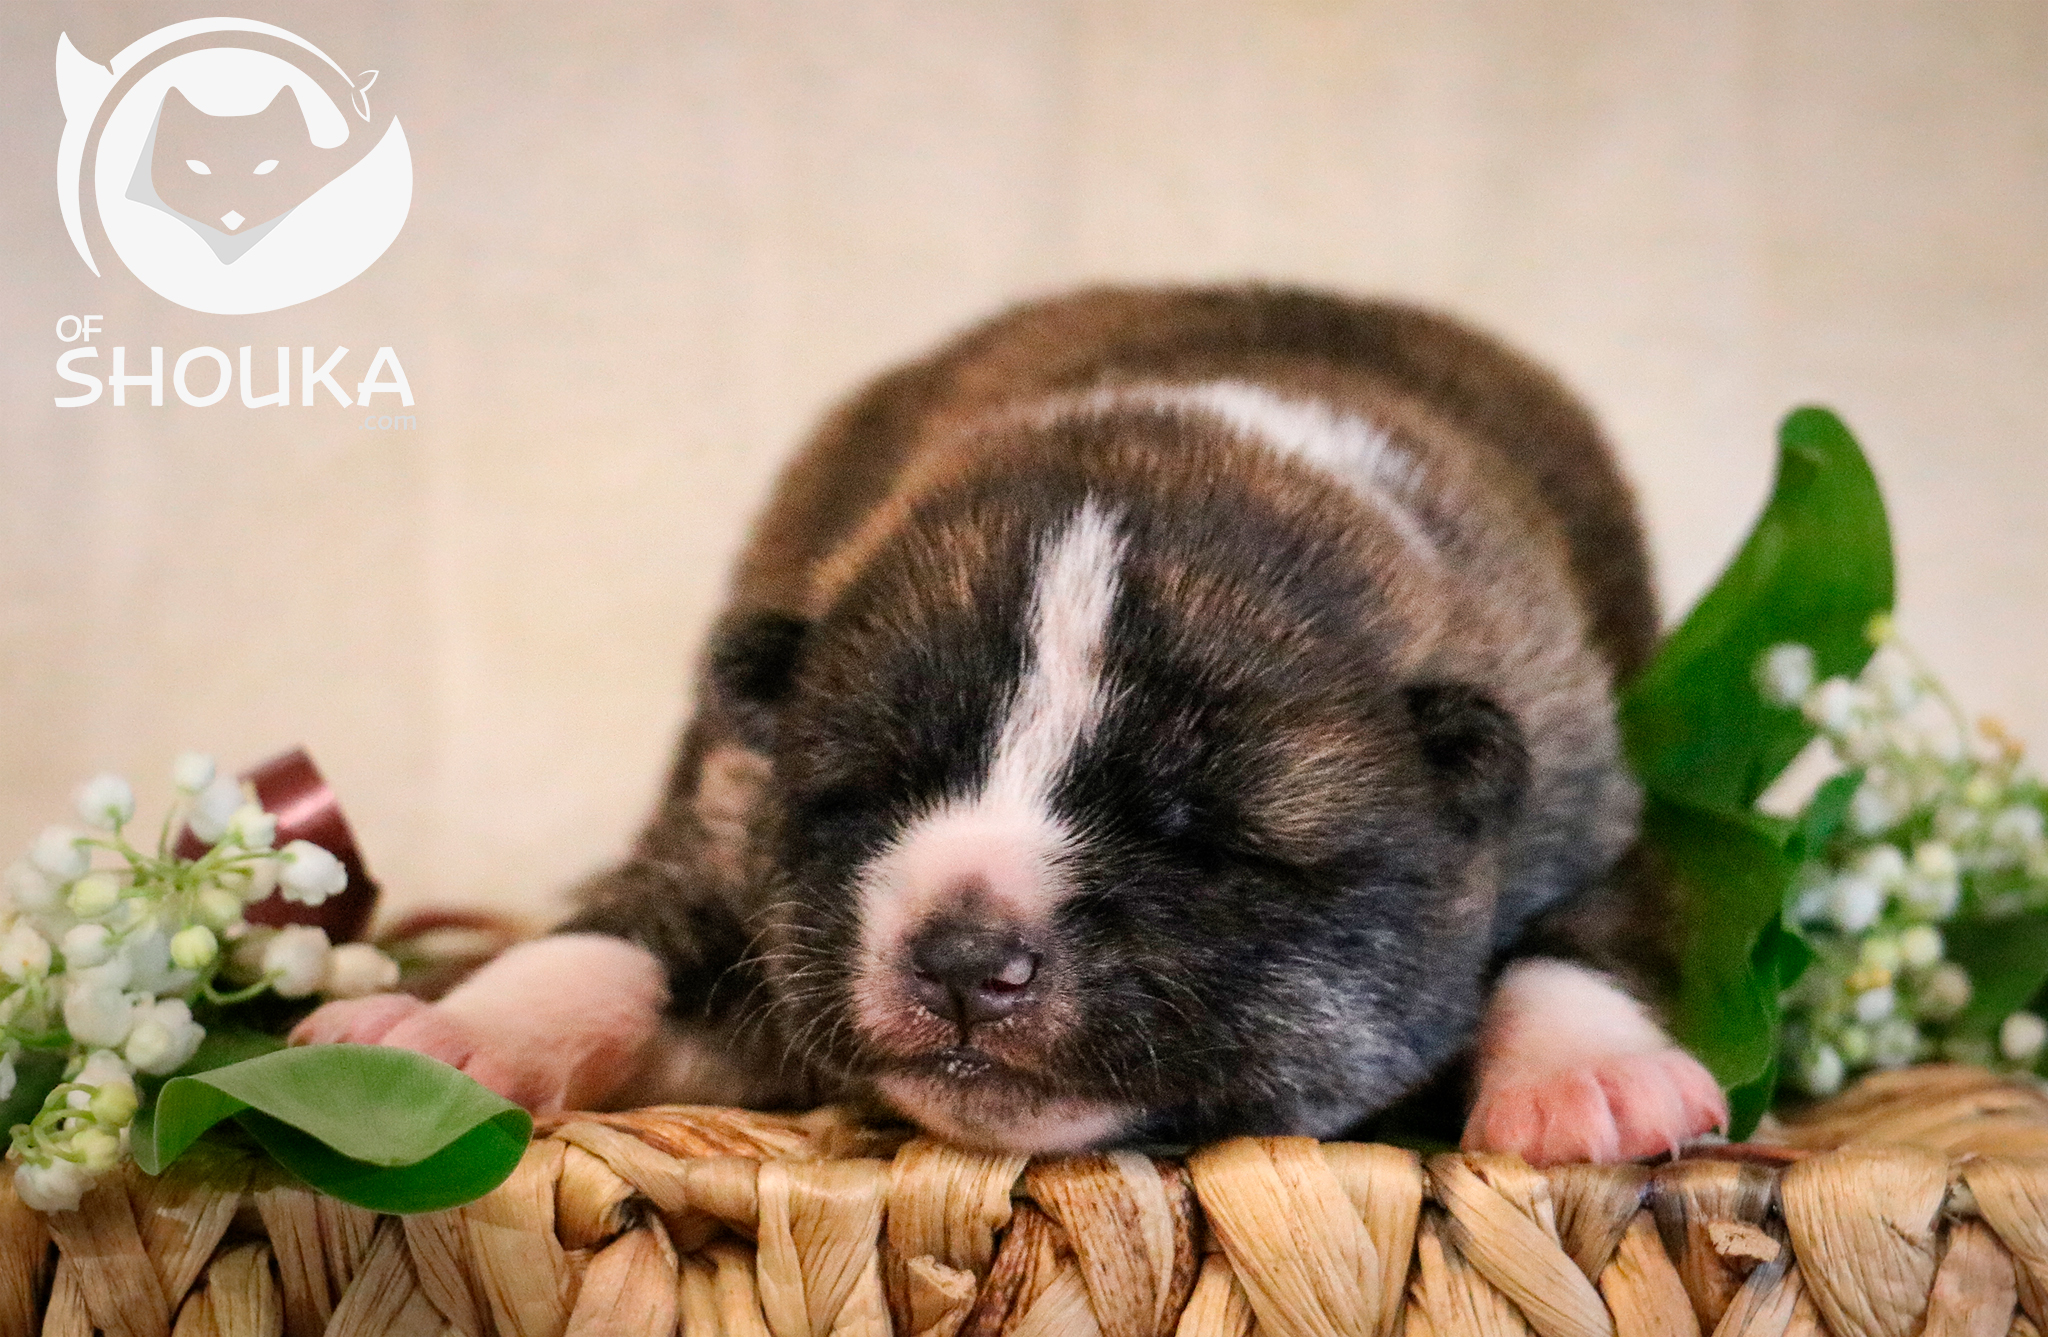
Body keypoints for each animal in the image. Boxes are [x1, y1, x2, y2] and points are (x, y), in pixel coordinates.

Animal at [292, 286, 1728, 1162]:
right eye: (871, 790)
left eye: (1193, 837)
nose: (965, 956)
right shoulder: (733, 837)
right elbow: (622, 930)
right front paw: (457, 1034)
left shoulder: (1591, 793)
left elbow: (1588, 935)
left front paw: (1593, 1078)